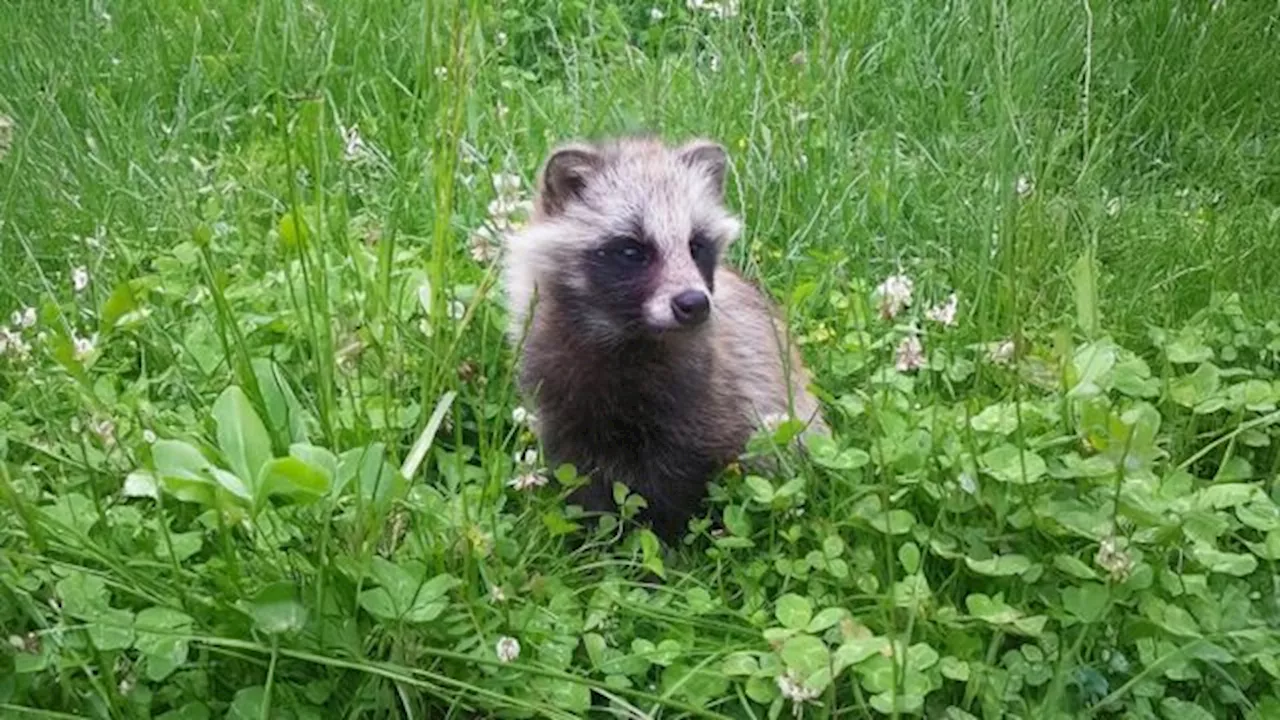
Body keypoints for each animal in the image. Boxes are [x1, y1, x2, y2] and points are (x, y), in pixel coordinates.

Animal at [504, 134, 824, 540]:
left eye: (696, 244)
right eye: (631, 249)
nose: (694, 303)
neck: (626, 336)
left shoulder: (702, 399)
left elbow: (683, 482)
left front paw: (664, 546)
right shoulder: (558, 395)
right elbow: (578, 478)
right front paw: (590, 540)